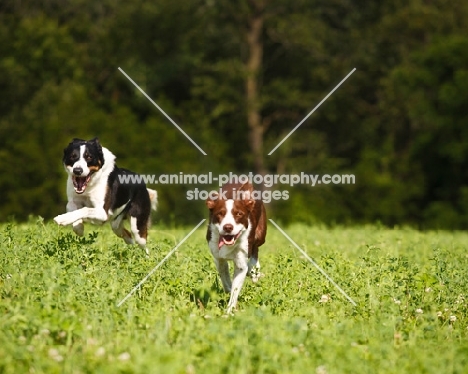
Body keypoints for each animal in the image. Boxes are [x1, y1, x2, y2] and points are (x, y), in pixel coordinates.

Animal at [206, 183, 266, 314]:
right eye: (220, 214)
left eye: (239, 214)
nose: (228, 227)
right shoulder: (219, 258)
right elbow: (225, 278)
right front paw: (228, 290)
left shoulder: (240, 262)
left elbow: (235, 288)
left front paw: (229, 311)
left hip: (260, 235)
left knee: (255, 249)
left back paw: (254, 270)